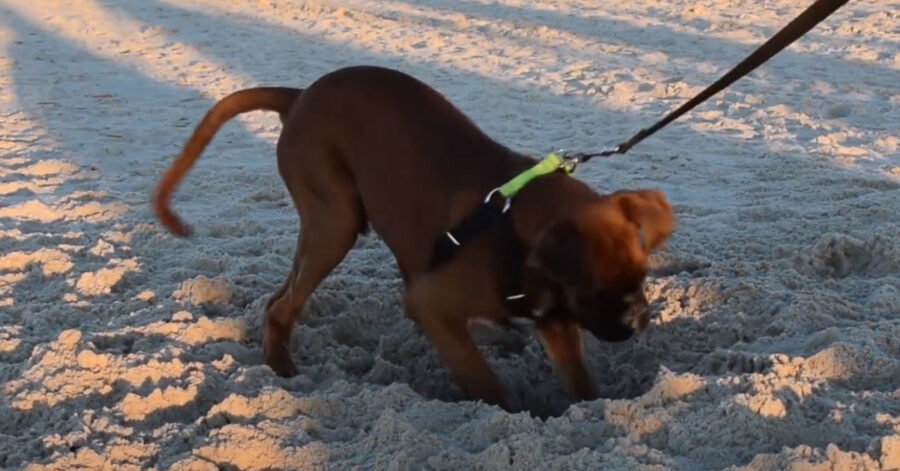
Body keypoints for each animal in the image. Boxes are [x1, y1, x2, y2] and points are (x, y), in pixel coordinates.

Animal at [153, 65, 676, 410]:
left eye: (642, 277)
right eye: (597, 290)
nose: (638, 321)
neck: (512, 230)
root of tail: (299, 94)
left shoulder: (557, 321)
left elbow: (581, 382)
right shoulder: (434, 307)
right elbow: (487, 385)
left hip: (327, 227)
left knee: (278, 297)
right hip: (336, 222)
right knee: (283, 306)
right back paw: (283, 371)